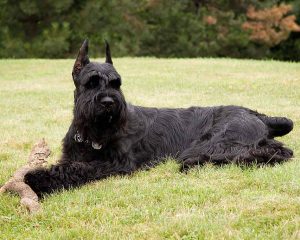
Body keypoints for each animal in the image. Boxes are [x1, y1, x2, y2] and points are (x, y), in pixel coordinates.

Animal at [24, 39, 292, 197]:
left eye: (116, 84)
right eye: (91, 83)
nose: (109, 102)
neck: (91, 133)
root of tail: (256, 114)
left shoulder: (117, 163)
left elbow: (77, 168)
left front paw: (37, 179)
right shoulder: (73, 154)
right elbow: (70, 164)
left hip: (216, 143)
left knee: (270, 152)